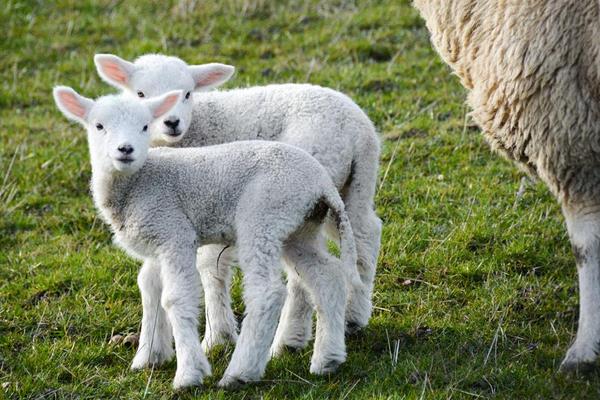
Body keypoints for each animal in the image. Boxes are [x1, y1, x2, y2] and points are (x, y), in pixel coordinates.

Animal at [51, 86, 358, 390]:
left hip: (263, 216)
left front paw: (189, 373)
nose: (125, 149)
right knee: (327, 276)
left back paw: (241, 372)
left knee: (267, 292)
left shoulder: (174, 232)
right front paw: (149, 356)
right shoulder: (157, 239)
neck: (137, 183)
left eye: (145, 126)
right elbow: (149, 289)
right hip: (298, 228)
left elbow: (176, 299)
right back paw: (327, 359)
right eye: (99, 126)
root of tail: (321, 184)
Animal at [94, 52, 384, 354]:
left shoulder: (211, 201)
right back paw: (354, 315)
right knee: (365, 233)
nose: (171, 122)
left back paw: (287, 339)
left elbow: (210, 266)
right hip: (353, 185)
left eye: (187, 93)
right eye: (140, 94)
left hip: (303, 184)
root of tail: (356, 130)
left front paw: (216, 336)